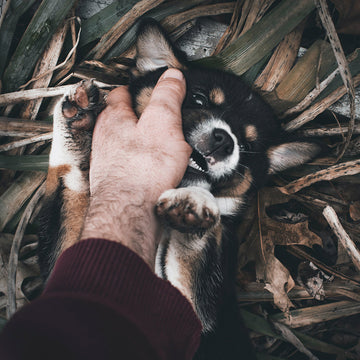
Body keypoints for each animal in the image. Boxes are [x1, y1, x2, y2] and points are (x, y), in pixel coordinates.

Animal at [38, 20, 322, 360]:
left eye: (248, 147)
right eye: (198, 100)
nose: (225, 141)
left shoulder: (198, 316)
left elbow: (198, 242)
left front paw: (195, 203)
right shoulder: (71, 264)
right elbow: (73, 177)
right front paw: (77, 125)